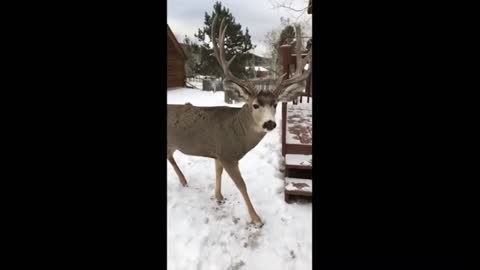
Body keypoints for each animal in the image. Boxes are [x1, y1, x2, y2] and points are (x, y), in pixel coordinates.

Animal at [167, 15, 314, 226]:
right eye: (255, 105)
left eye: (275, 104)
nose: (270, 123)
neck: (236, 133)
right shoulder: (228, 155)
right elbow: (242, 185)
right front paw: (256, 218)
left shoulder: (219, 154)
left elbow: (218, 173)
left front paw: (219, 197)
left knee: (169, 156)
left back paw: (183, 180)